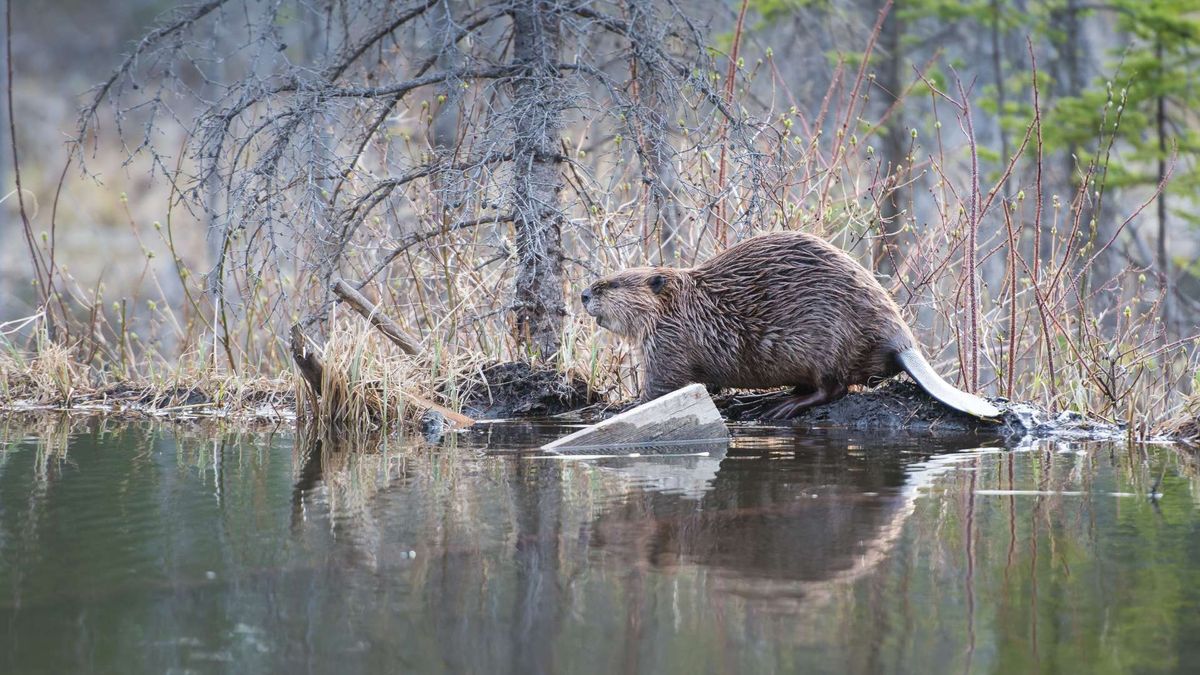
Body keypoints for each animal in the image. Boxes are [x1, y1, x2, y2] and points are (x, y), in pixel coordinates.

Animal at [583, 234, 1003, 417]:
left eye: (611, 284)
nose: (585, 294)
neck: (688, 304)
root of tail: (903, 345)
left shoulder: (668, 341)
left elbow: (661, 387)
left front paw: (625, 406)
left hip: (825, 344)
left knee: (834, 388)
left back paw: (781, 406)